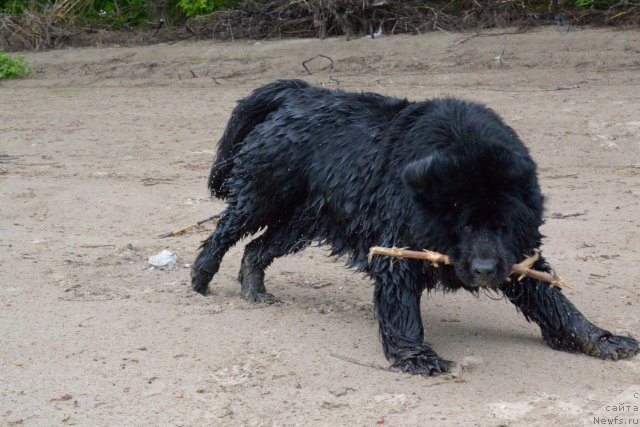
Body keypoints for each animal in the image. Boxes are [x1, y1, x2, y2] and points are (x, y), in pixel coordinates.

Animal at [191, 79, 640, 374]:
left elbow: (556, 303)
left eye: (503, 227)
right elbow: (402, 309)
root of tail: (298, 93)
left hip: (302, 219)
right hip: (262, 196)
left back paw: (254, 291)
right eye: (461, 225)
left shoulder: (519, 258)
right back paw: (200, 278)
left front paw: (601, 339)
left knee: (256, 249)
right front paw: (416, 356)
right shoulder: (398, 250)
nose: (482, 271)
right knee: (223, 233)